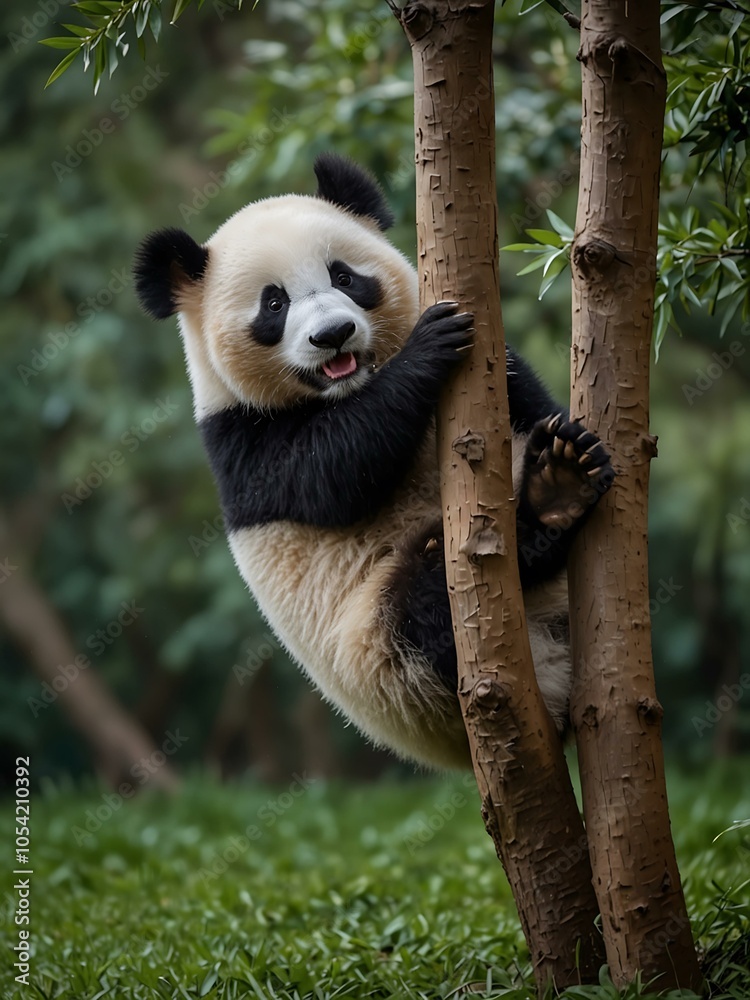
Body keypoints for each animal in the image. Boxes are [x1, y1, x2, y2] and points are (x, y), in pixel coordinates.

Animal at [134, 154, 614, 770]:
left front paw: (572, 449)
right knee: (426, 601)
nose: (333, 335)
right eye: (274, 304)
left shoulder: (504, 376)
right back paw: (543, 508)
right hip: (386, 656)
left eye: (344, 277)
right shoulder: (240, 440)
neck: (344, 388)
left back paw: (561, 479)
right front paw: (428, 350)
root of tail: (552, 681)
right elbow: (333, 469)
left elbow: (530, 403)